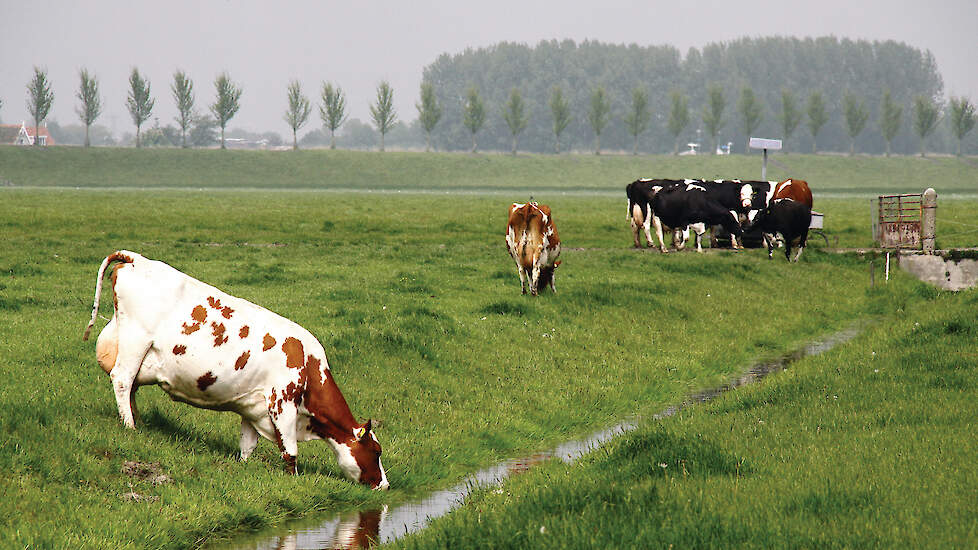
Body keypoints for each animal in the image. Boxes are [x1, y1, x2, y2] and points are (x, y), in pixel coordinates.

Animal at [83, 252, 388, 490]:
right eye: (376, 451)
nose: (385, 484)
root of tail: (137, 258)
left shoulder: (253, 408)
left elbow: (247, 447)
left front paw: (245, 468)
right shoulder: (282, 402)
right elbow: (290, 452)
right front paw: (295, 480)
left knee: (132, 385)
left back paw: (139, 421)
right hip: (136, 341)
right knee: (123, 380)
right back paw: (130, 426)